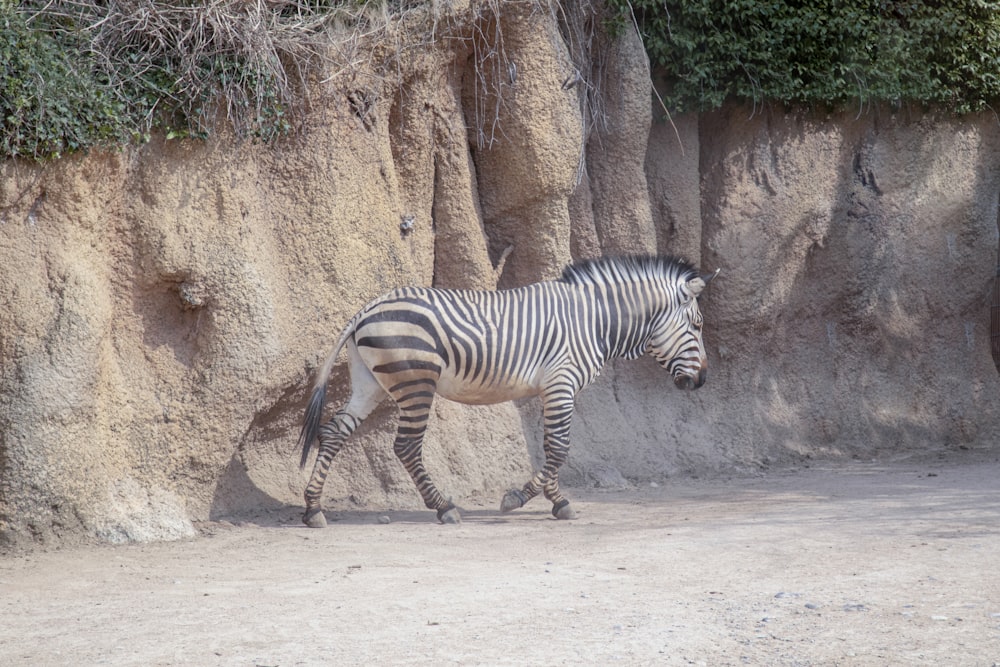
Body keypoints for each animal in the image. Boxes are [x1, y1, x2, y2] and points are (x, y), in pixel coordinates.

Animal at [296, 254, 720, 528]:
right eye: (698, 324)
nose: (701, 381)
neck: (597, 321)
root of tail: (366, 309)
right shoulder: (562, 382)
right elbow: (559, 448)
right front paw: (526, 499)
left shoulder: (553, 389)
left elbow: (552, 446)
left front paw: (552, 500)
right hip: (416, 381)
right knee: (406, 446)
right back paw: (444, 508)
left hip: (370, 381)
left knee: (333, 432)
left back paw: (314, 509)